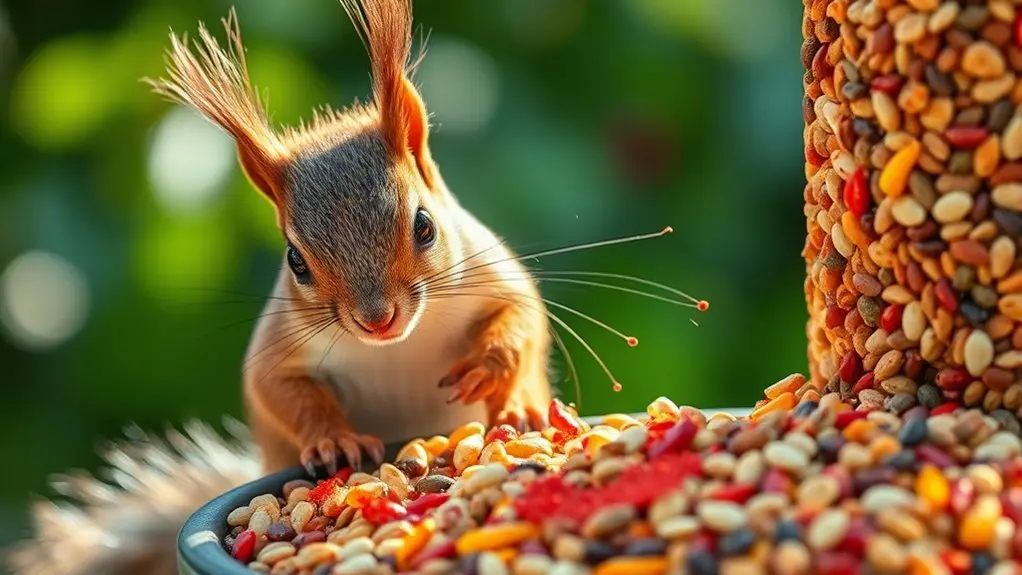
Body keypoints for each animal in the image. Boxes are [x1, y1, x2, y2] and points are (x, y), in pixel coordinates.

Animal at [3, 1, 553, 573]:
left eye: (424, 225)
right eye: (296, 261)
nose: (377, 319)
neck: (400, 344)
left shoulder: (493, 275)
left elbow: (523, 319)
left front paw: (494, 374)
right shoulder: (279, 340)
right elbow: (279, 389)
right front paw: (334, 440)